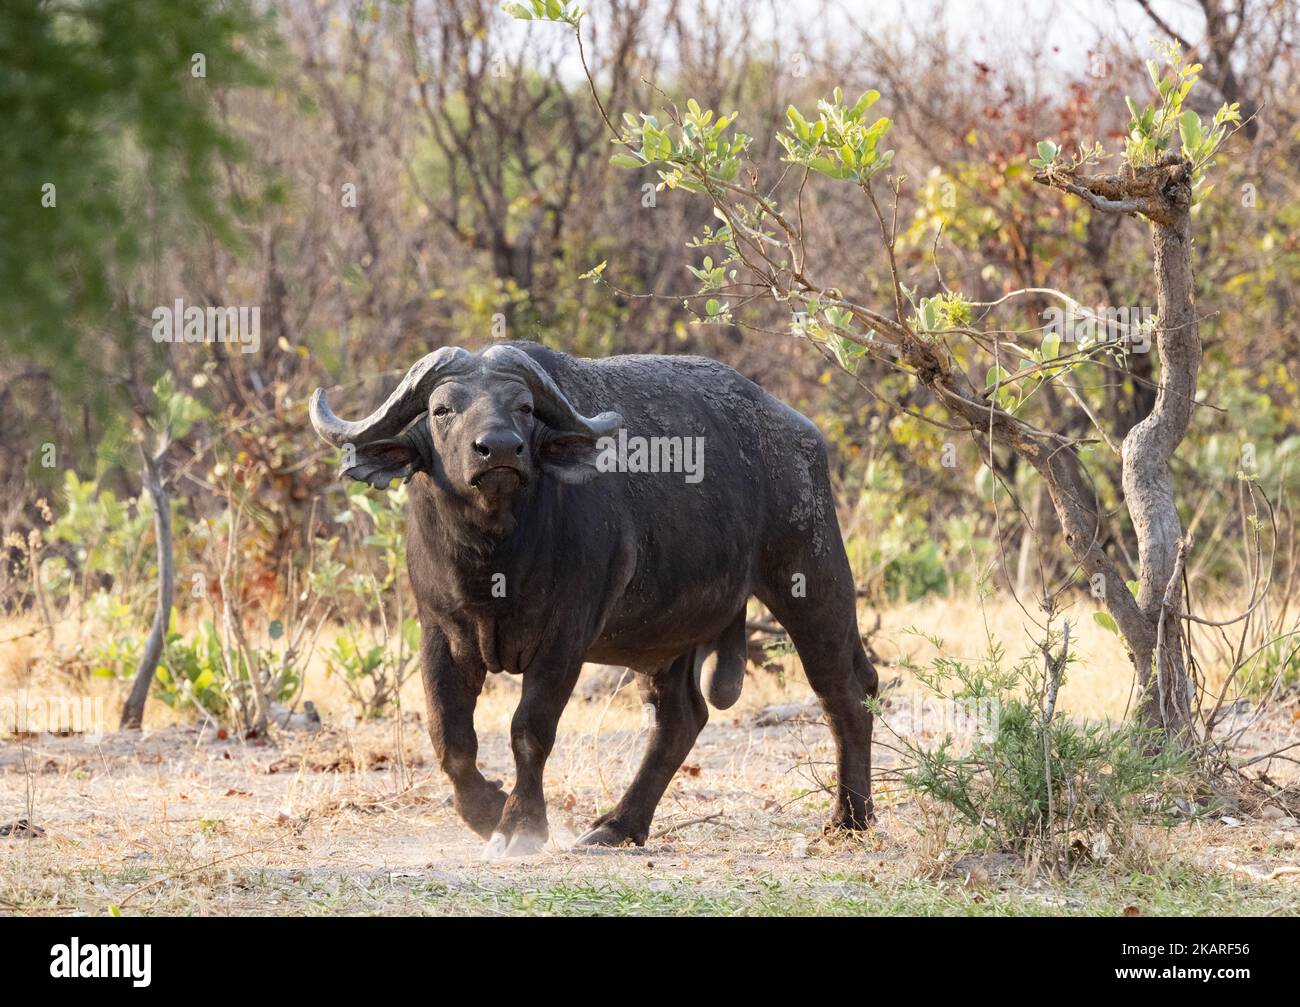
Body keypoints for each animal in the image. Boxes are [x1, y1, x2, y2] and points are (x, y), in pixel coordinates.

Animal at [306, 343, 873, 852]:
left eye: (524, 407)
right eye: (442, 409)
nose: (500, 449)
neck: (495, 555)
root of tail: (800, 435)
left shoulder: (565, 635)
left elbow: (529, 728)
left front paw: (521, 826)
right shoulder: (441, 633)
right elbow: (450, 737)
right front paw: (487, 811)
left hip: (813, 580)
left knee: (846, 691)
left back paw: (850, 818)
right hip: (665, 636)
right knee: (680, 720)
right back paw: (618, 826)